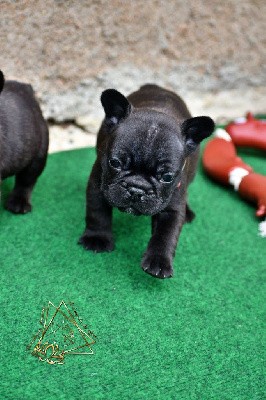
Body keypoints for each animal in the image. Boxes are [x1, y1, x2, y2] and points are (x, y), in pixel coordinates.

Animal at [78, 84, 214, 278]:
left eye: (167, 177)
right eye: (115, 163)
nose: (136, 189)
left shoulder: (172, 208)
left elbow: (166, 234)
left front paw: (159, 260)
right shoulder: (98, 185)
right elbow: (97, 213)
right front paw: (97, 238)